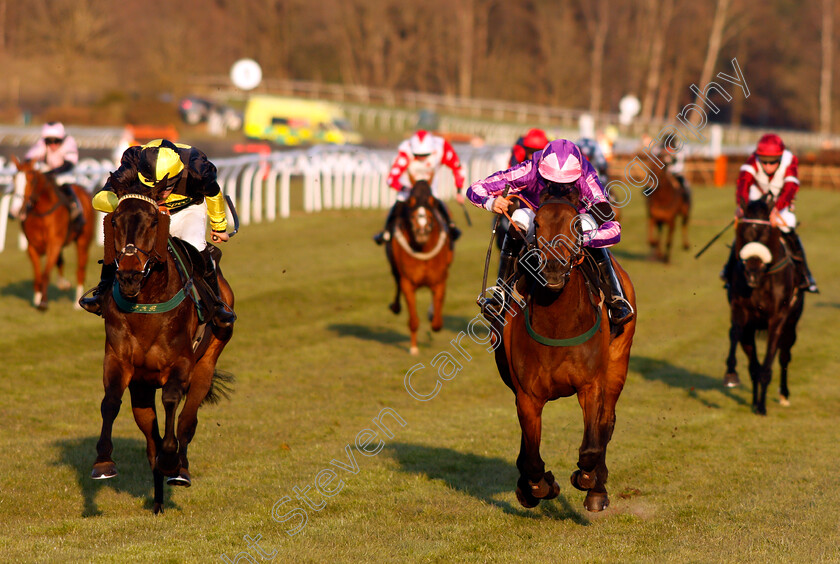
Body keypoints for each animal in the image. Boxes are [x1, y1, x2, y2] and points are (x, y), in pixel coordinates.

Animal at [11, 156, 94, 310]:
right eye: (14, 179)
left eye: (31, 180)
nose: (14, 211)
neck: (41, 212)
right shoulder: (32, 247)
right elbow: (38, 275)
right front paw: (37, 299)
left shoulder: (54, 244)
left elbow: (45, 274)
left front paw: (43, 302)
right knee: (60, 262)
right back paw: (63, 284)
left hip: (83, 241)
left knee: (80, 270)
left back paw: (77, 302)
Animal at [90, 174, 235, 512]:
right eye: (114, 221)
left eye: (153, 221)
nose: (129, 276)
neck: (147, 298)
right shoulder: (118, 360)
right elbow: (110, 402)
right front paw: (103, 462)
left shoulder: (181, 362)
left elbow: (171, 400)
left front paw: (172, 461)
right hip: (142, 389)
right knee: (150, 439)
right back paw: (157, 499)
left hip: (207, 362)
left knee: (187, 420)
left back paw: (179, 469)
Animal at [388, 181, 452, 354]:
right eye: (412, 213)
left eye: (430, 213)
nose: (421, 230)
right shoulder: (407, 283)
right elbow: (413, 319)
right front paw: (414, 348)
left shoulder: (439, 281)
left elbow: (437, 323)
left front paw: (434, 318)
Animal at [492, 193, 636, 512]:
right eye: (537, 225)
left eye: (578, 227)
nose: (553, 270)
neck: (558, 325)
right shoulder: (527, 395)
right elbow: (531, 456)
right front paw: (538, 486)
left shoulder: (591, 385)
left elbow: (592, 444)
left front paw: (588, 480)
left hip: (618, 363)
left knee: (607, 423)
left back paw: (598, 488)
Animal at [720, 200, 808, 412]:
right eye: (743, 231)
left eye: (767, 232)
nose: (752, 273)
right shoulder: (740, 311)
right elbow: (735, 334)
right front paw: (731, 374)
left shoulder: (777, 318)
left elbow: (769, 363)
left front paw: (762, 407)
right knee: (754, 364)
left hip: (791, 324)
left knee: (784, 356)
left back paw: (783, 395)